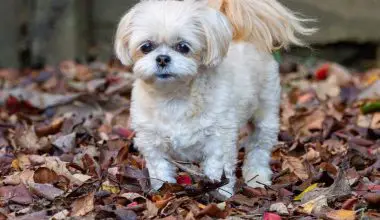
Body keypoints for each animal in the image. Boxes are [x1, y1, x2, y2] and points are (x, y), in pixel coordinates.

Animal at [115, 0, 314, 198]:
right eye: (146, 46)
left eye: (183, 47)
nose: (162, 58)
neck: (174, 97)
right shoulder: (152, 142)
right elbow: (160, 169)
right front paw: (164, 191)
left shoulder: (219, 139)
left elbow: (217, 167)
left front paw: (220, 194)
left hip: (265, 113)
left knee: (259, 147)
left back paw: (257, 177)